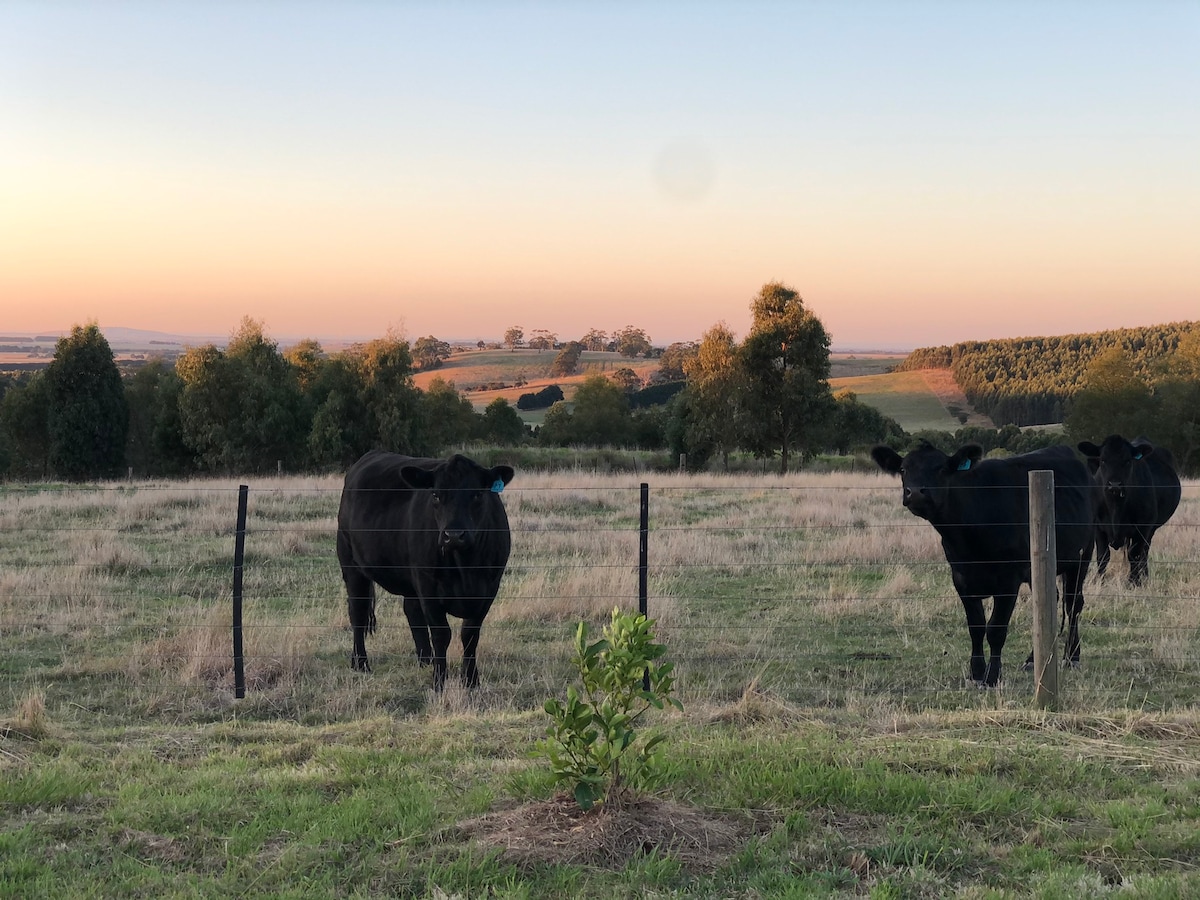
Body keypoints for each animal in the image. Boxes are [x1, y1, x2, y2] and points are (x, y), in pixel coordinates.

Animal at [336, 451, 513, 691]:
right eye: (436, 495)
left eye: (477, 494)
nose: (453, 535)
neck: (465, 566)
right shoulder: (428, 585)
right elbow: (441, 634)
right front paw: (439, 681)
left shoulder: (489, 587)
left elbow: (470, 633)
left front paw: (471, 680)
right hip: (351, 565)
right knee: (358, 612)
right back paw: (361, 663)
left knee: (411, 610)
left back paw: (425, 659)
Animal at [868, 444, 1094, 691]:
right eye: (903, 469)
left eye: (941, 469)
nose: (916, 492)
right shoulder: (961, 578)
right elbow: (975, 627)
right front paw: (976, 673)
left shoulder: (1008, 579)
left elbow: (995, 629)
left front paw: (992, 676)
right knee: (1048, 602)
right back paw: (1034, 659)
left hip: (1082, 555)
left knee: (1073, 604)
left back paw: (1072, 657)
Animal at [1080, 434, 1180, 588]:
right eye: (1103, 460)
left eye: (1127, 461)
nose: (1114, 484)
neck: (1116, 508)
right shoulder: (1098, 527)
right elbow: (1103, 555)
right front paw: (1100, 581)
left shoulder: (1143, 527)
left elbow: (1135, 555)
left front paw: (1134, 582)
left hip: (1150, 529)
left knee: (1144, 551)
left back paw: (1144, 576)